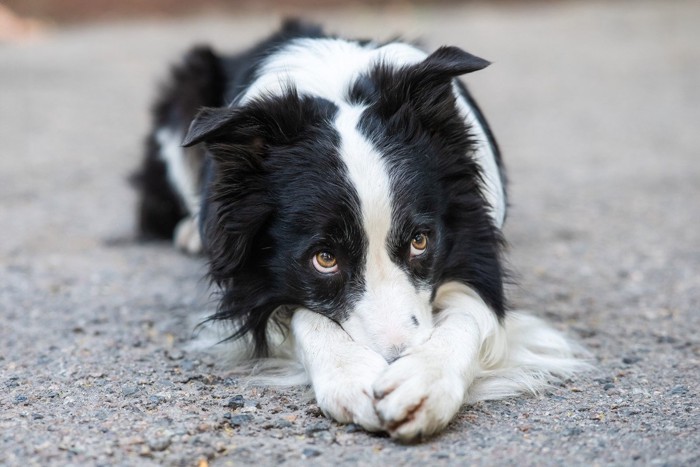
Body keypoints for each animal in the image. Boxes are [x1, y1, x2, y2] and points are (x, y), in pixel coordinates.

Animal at [134, 19, 588, 442]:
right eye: (324, 259)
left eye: (420, 241)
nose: (395, 361)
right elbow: (301, 314)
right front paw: (351, 376)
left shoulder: (472, 252)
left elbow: (471, 315)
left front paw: (423, 379)